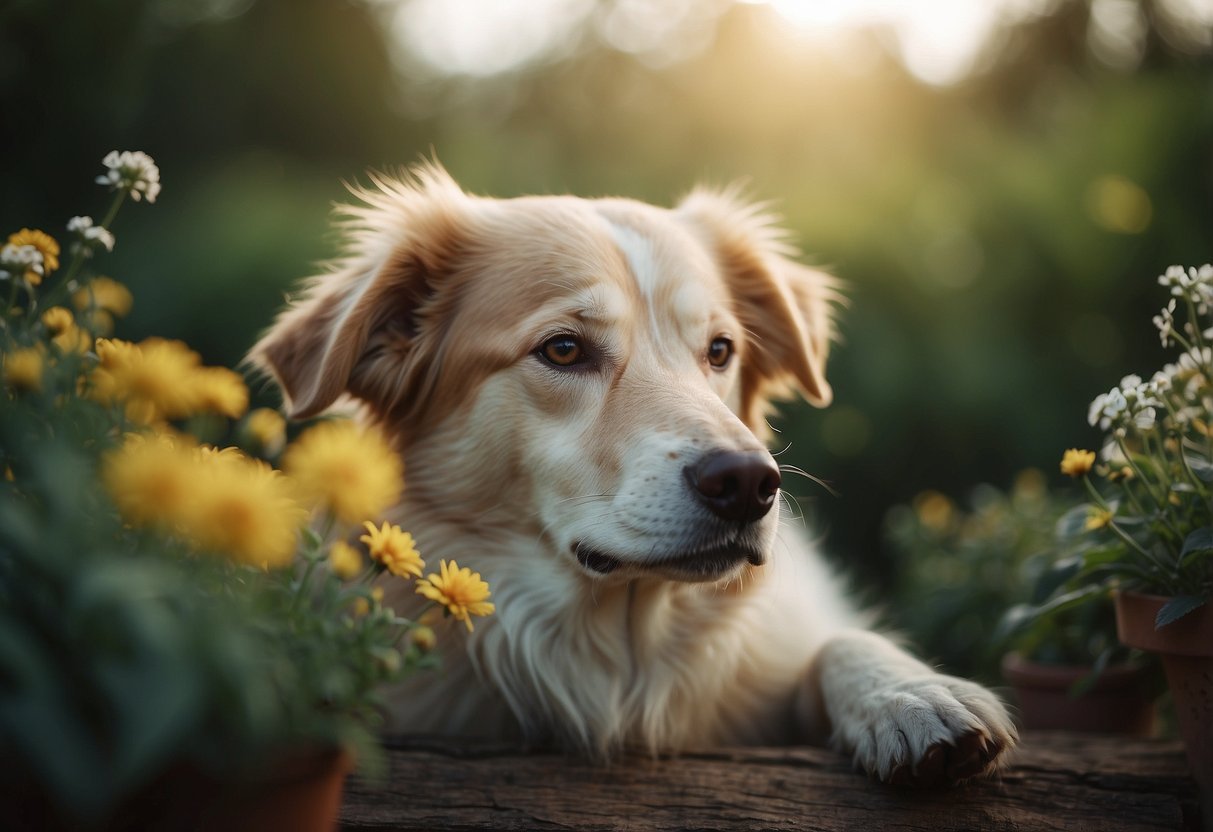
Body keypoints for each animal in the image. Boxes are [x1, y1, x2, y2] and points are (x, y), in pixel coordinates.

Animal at [251, 164, 1018, 790]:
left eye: (720, 350)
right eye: (563, 349)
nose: (750, 484)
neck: (615, 661)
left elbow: (837, 641)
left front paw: (912, 695)